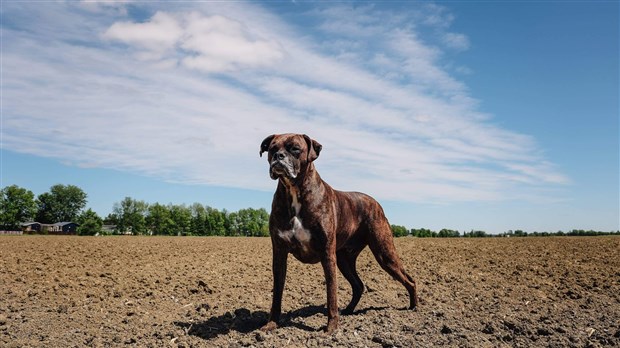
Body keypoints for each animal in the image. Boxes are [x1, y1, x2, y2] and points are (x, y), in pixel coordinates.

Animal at [260, 134, 418, 334]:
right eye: (272, 148)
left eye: (295, 148)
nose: (278, 156)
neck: (294, 190)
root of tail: (375, 203)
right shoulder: (279, 254)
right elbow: (277, 292)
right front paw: (272, 324)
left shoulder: (327, 254)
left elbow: (331, 293)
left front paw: (331, 327)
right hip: (345, 259)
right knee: (358, 285)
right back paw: (349, 310)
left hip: (385, 254)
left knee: (409, 280)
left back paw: (414, 306)